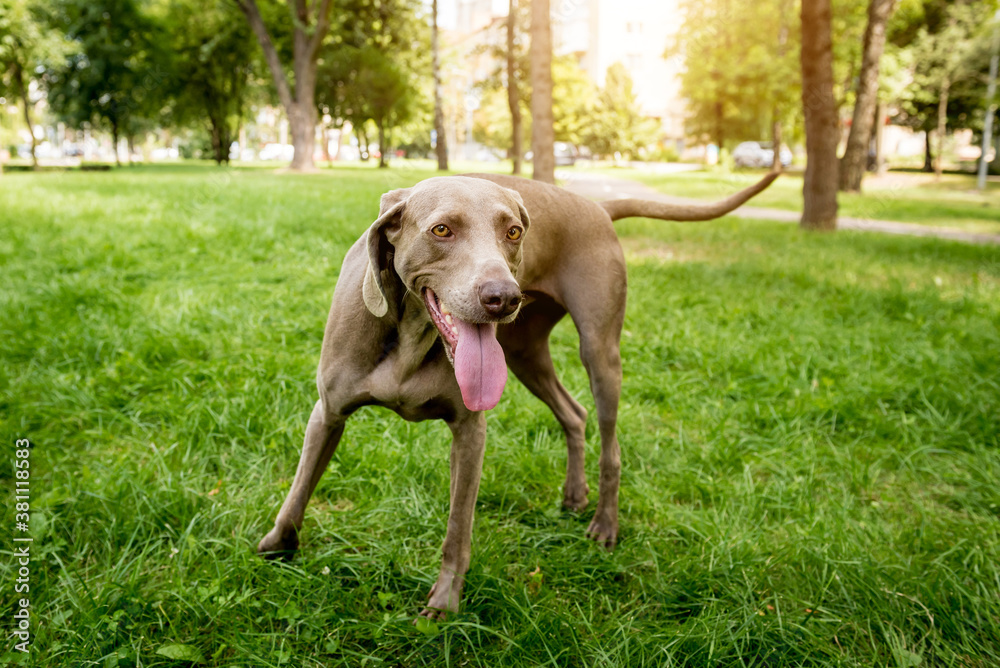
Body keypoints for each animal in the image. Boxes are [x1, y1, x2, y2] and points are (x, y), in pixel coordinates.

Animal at [258, 170, 772, 620]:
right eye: (441, 230)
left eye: (513, 231)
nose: (503, 297)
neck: (410, 336)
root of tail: (595, 206)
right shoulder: (328, 412)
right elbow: (300, 486)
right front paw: (276, 545)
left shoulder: (470, 431)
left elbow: (457, 528)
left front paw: (443, 604)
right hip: (525, 353)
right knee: (573, 413)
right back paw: (573, 495)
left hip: (597, 350)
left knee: (610, 443)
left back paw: (604, 524)